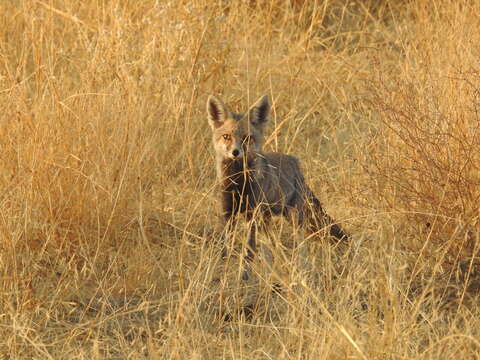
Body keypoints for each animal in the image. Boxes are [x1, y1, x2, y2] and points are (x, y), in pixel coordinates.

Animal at [206, 94, 348, 280]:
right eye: (226, 137)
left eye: (247, 138)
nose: (236, 152)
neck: (238, 184)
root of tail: (295, 163)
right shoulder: (228, 213)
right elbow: (227, 249)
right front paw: (225, 272)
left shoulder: (252, 215)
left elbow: (248, 251)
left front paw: (243, 277)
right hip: (266, 221)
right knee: (270, 251)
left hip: (293, 218)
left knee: (300, 246)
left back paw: (302, 270)